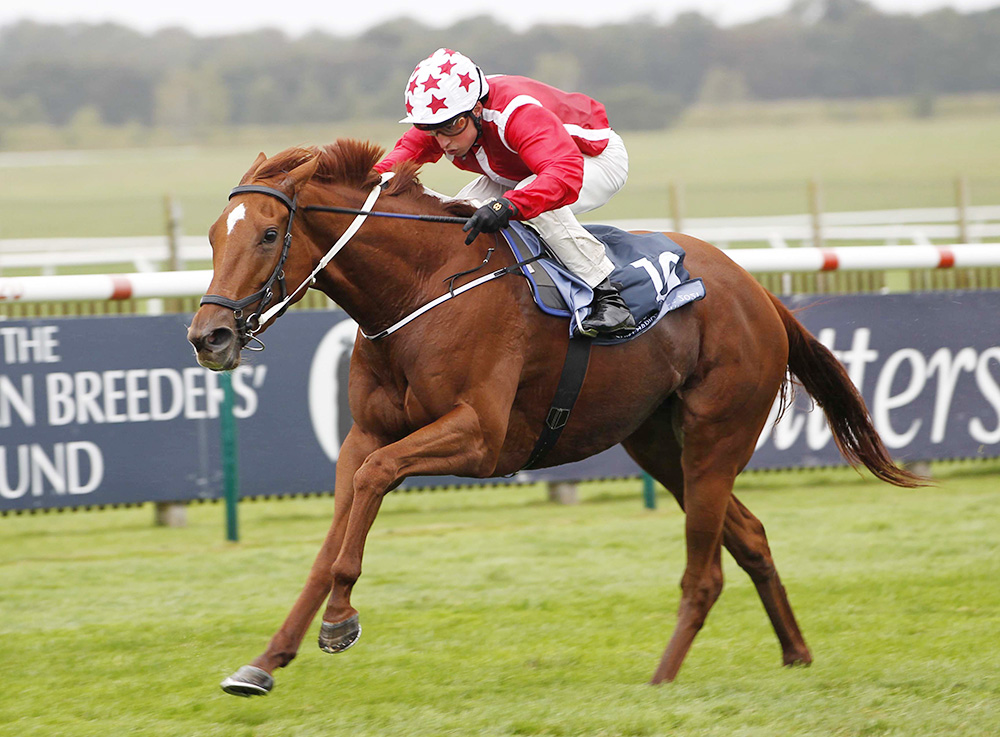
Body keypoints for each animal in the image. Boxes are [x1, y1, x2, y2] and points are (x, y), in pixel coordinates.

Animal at [188, 139, 920, 696]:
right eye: (214, 235)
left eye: (269, 233)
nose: (208, 337)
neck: (422, 288)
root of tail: (760, 295)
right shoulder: (364, 433)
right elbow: (333, 534)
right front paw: (266, 660)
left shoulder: (479, 439)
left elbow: (374, 480)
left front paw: (340, 619)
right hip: (660, 446)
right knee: (751, 538)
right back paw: (796, 653)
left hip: (716, 437)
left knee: (706, 570)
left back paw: (661, 679)